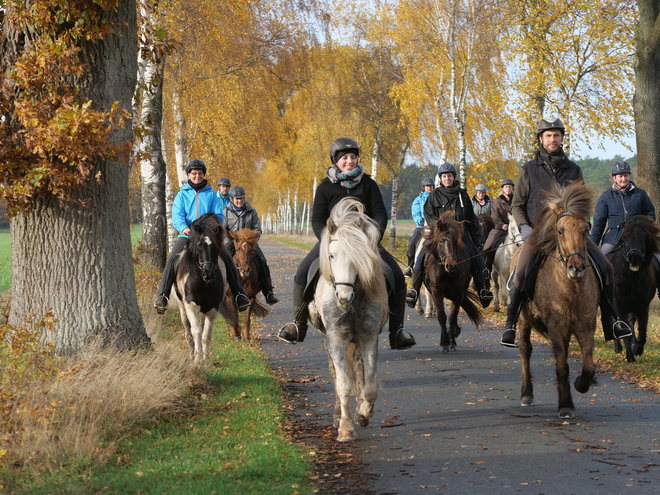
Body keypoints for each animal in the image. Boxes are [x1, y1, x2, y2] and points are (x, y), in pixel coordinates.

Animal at [173, 211, 240, 366]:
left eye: (215, 246)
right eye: (199, 245)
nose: (208, 273)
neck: (202, 283)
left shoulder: (213, 308)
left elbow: (206, 334)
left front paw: (206, 362)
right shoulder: (190, 306)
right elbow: (196, 332)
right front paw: (198, 361)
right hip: (182, 307)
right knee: (188, 331)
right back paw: (192, 356)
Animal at [308, 198, 390, 442]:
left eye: (359, 257)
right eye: (331, 256)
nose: (343, 297)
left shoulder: (368, 337)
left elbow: (370, 384)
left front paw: (364, 412)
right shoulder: (336, 339)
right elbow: (343, 384)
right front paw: (345, 428)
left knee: (359, 370)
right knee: (337, 374)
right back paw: (338, 417)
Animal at [422, 212, 484, 352]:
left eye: (456, 241)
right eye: (441, 240)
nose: (450, 265)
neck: (447, 273)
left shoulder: (458, 293)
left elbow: (452, 316)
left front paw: (452, 341)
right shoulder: (437, 292)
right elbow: (442, 316)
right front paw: (444, 343)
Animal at [512, 181, 600, 418]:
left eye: (586, 229)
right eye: (560, 231)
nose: (576, 267)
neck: (571, 288)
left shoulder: (586, 325)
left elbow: (588, 366)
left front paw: (580, 384)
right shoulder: (556, 326)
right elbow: (562, 366)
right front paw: (566, 405)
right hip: (523, 321)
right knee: (525, 351)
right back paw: (526, 394)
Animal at [608, 215, 660, 362]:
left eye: (645, 236)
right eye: (625, 236)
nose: (634, 258)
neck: (631, 277)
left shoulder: (643, 305)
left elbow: (642, 332)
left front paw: (637, 349)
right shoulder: (619, 305)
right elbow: (626, 331)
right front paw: (630, 357)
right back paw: (618, 348)